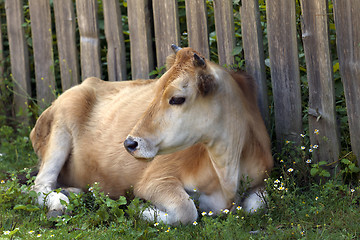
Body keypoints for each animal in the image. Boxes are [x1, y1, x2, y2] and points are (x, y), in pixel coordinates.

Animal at [30, 45, 272, 225]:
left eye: (177, 98)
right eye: (155, 92)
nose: (129, 143)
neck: (227, 172)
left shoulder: (263, 179)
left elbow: (257, 206)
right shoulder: (156, 179)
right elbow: (186, 210)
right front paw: (141, 209)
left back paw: (73, 191)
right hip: (60, 129)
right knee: (39, 185)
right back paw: (60, 203)